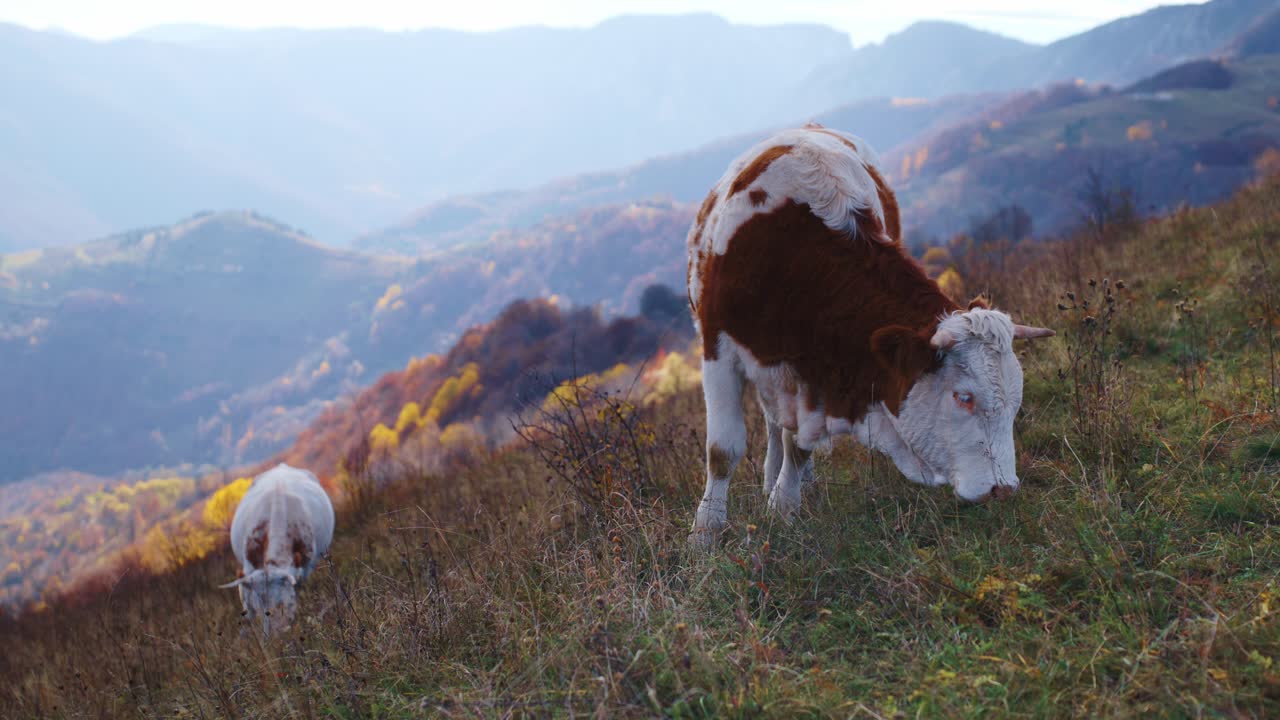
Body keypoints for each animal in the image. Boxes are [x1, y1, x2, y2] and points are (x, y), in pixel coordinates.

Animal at [686, 124, 1054, 544]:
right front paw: (706, 531)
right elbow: (723, 450)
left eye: (1016, 400)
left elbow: (798, 445)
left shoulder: (816, 374)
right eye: (964, 397)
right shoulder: (717, 347)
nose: (1003, 489)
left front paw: (784, 508)